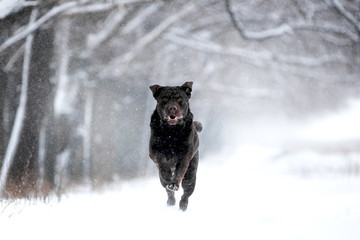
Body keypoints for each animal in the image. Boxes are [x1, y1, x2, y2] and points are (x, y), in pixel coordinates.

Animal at [148, 81, 201, 211]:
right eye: (164, 99)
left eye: (180, 99)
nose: (172, 108)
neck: (171, 132)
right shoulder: (155, 152)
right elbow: (162, 163)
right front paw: (168, 177)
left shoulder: (184, 156)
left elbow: (179, 172)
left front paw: (173, 184)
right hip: (161, 179)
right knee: (167, 190)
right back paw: (170, 201)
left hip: (191, 174)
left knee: (186, 192)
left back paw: (183, 206)